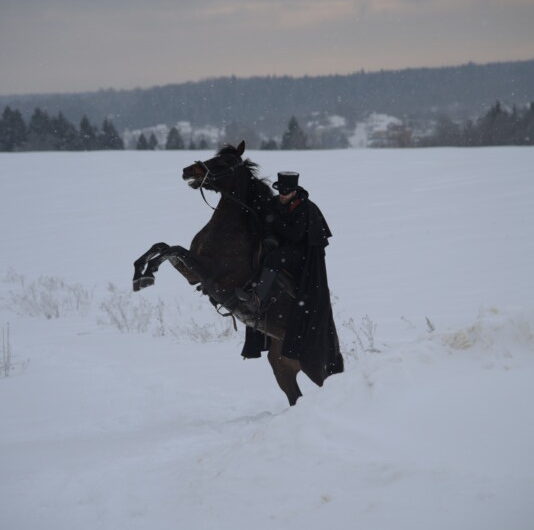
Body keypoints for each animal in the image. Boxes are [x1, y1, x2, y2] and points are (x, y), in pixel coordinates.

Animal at [134, 140, 326, 404]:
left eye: (224, 162)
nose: (187, 171)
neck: (229, 231)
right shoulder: (193, 274)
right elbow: (163, 247)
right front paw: (142, 274)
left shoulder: (212, 275)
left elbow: (173, 249)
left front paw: (146, 273)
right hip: (281, 364)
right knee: (294, 394)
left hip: (312, 367)